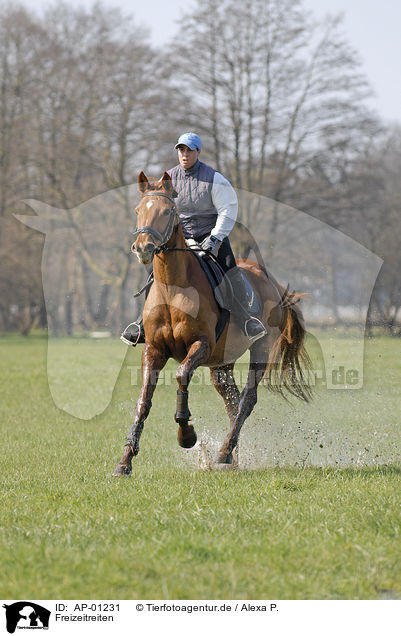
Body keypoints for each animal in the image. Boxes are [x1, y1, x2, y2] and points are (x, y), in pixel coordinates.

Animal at [111, 171, 310, 474]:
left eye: (167, 211)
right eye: (138, 210)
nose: (143, 247)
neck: (172, 288)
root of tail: (273, 283)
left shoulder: (201, 344)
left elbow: (182, 375)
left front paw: (186, 435)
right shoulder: (154, 350)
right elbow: (144, 401)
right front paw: (125, 461)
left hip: (261, 347)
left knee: (247, 399)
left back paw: (225, 453)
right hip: (221, 363)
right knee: (232, 401)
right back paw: (232, 457)